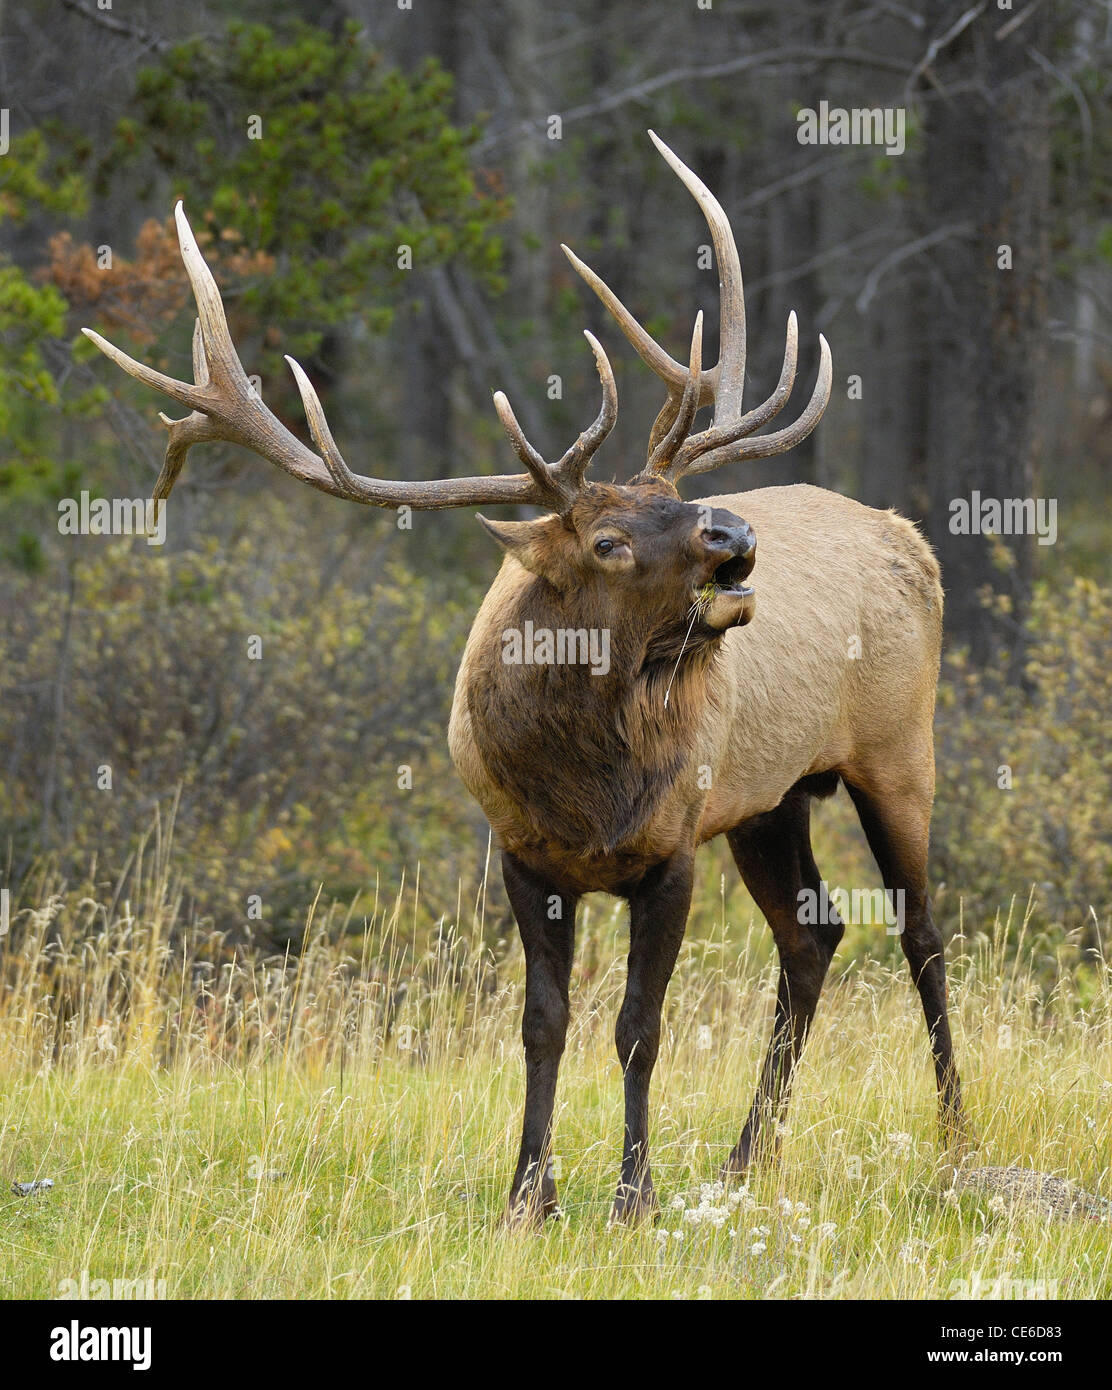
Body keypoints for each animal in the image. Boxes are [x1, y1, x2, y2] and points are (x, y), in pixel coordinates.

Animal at [86, 127, 967, 1217]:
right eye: (606, 539)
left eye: (675, 499)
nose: (734, 535)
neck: (585, 785)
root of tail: (910, 535)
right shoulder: (520, 852)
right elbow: (542, 1024)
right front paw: (528, 1195)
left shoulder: (670, 846)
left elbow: (639, 1029)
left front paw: (632, 1194)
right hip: (771, 799)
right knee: (815, 935)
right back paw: (744, 1155)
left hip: (896, 749)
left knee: (921, 932)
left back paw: (953, 1136)